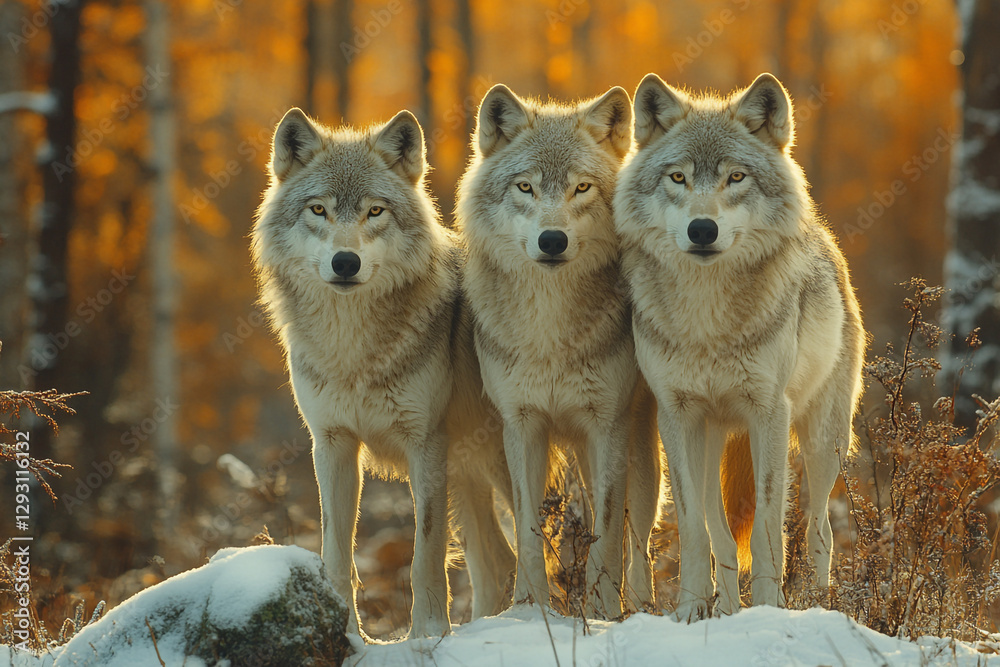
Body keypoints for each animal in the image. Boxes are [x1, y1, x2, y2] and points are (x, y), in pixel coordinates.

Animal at [252, 108, 515, 637]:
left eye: (375, 212)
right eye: (318, 210)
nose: (345, 262)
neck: (353, 351)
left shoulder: (425, 445)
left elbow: (425, 558)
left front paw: (429, 635)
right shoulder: (332, 445)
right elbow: (337, 556)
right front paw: (349, 635)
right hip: (469, 476)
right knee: (499, 562)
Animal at [457, 85, 662, 619]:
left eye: (582, 189)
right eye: (526, 188)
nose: (552, 240)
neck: (550, 334)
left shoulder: (606, 426)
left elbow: (607, 535)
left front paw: (605, 611)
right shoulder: (522, 425)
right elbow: (530, 535)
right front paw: (528, 609)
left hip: (637, 454)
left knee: (640, 539)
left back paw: (645, 607)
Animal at [615, 73, 865, 620]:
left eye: (735, 177)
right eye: (678, 178)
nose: (702, 229)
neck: (708, 322)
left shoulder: (768, 412)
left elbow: (770, 527)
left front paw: (770, 608)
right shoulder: (678, 415)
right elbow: (694, 529)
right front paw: (689, 610)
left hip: (823, 442)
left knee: (820, 530)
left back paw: (819, 602)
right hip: (712, 440)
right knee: (723, 534)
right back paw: (726, 609)